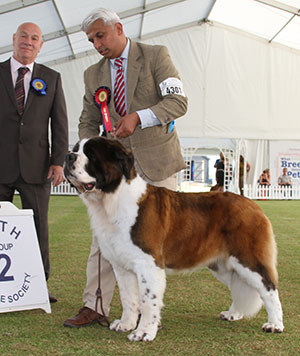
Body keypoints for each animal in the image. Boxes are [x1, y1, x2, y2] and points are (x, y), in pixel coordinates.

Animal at [63, 137, 284, 342]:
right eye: (76, 149)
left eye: (91, 154)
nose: (68, 156)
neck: (111, 199)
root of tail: (252, 205)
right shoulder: (122, 266)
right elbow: (128, 298)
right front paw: (126, 324)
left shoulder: (148, 264)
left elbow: (148, 300)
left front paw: (144, 332)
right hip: (223, 265)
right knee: (238, 286)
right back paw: (234, 313)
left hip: (248, 260)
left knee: (269, 289)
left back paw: (274, 325)